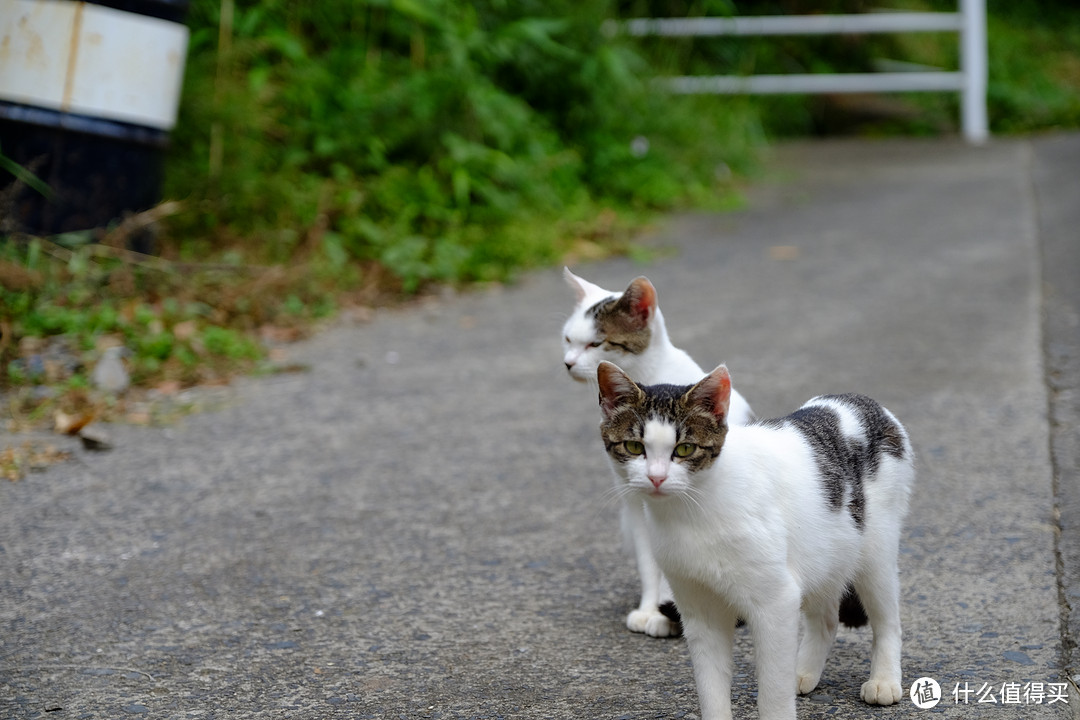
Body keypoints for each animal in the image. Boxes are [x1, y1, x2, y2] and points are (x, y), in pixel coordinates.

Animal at [561, 268, 756, 634]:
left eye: (596, 343)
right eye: (568, 340)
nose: (567, 363)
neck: (652, 378)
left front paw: (671, 613)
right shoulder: (635, 503)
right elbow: (650, 563)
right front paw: (650, 608)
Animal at [596, 362, 915, 720]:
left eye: (685, 449)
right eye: (634, 447)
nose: (656, 477)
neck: (692, 511)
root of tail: (859, 400)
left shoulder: (776, 602)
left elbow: (772, 693)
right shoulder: (699, 610)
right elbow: (711, 689)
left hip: (875, 553)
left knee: (888, 620)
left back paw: (884, 680)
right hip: (823, 553)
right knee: (826, 619)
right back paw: (802, 672)